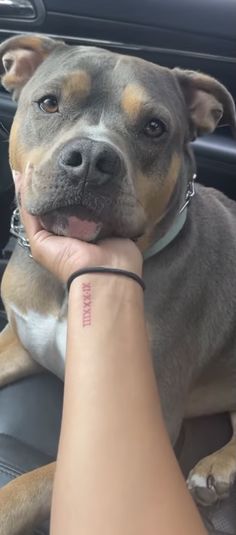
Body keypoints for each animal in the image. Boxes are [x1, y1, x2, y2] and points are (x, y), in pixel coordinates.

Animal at [0, 34, 236, 535]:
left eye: (154, 127)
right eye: (48, 103)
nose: (91, 158)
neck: (65, 279)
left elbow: (23, 488)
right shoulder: (20, 339)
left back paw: (216, 467)